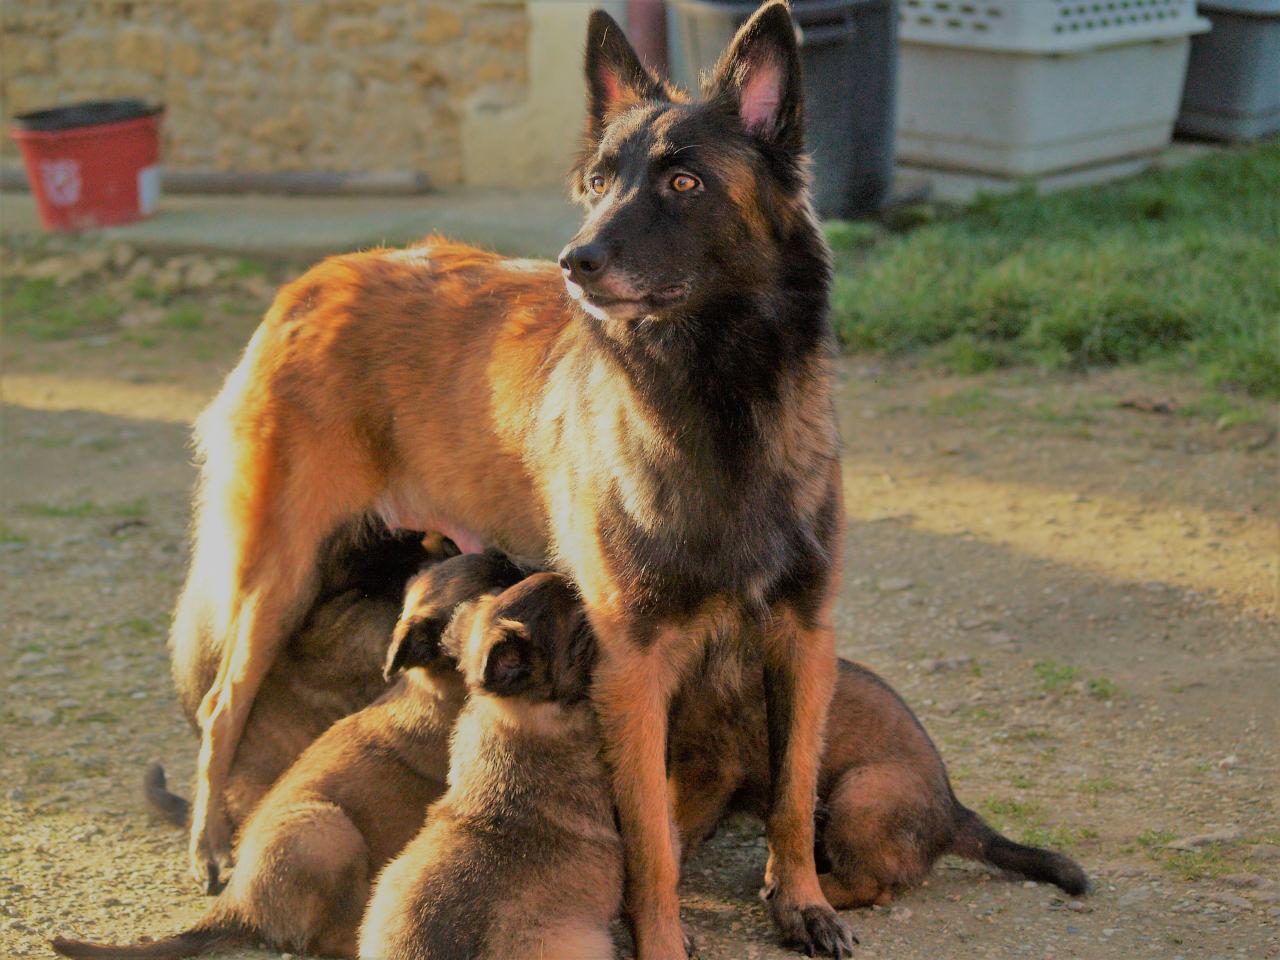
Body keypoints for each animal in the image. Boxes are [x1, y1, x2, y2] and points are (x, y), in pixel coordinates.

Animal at [49, 552, 519, 960]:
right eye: (496, 587)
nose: (523, 561)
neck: (436, 682)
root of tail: (233, 902)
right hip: (325, 829)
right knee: (323, 939)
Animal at [665, 655, 1085, 911]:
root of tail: (953, 813)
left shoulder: (711, 768)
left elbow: (678, 826)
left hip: (861, 796)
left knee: (872, 888)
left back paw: (802, 887)